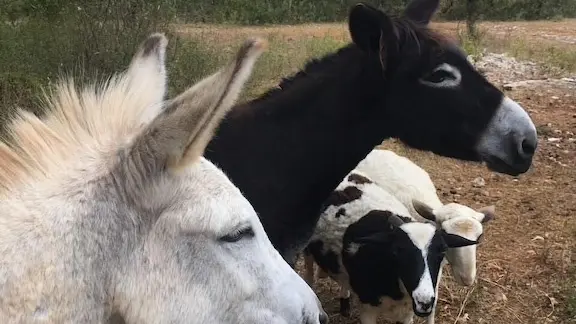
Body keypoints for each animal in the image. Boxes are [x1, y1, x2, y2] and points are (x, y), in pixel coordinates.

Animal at [304, 171, 480, 322]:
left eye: (442, 252)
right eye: (397, 251)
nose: (425, 302)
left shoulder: (407, 313)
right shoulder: (368, 308)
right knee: (308, 270)